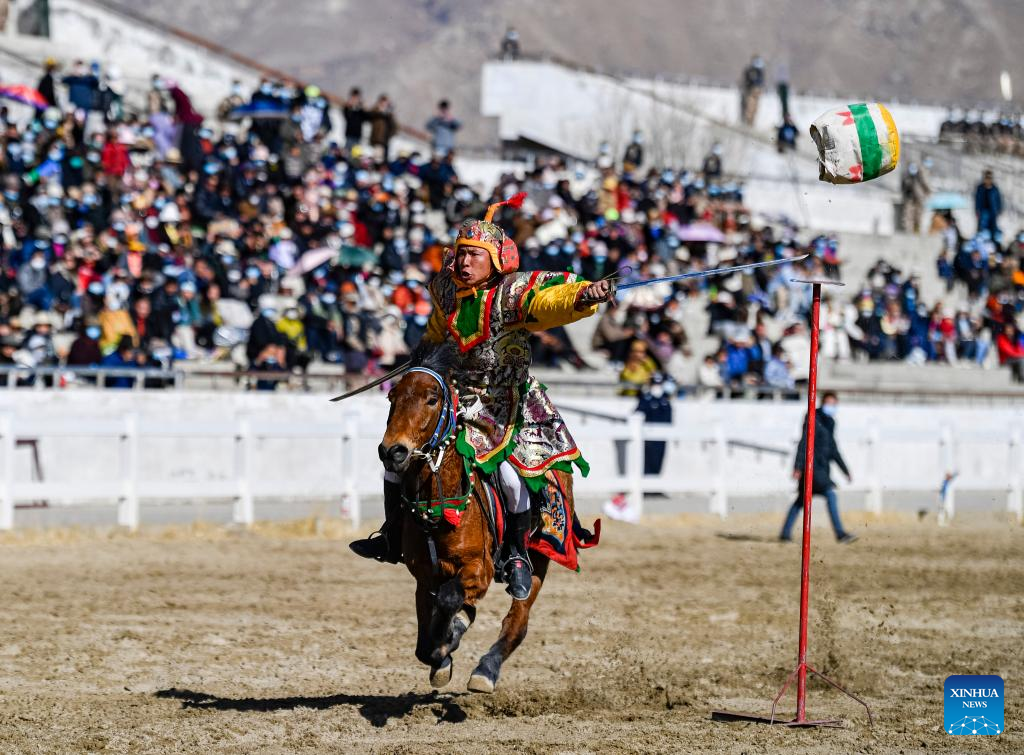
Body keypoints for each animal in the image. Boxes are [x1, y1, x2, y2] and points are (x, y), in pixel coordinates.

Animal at [380, 356, 569, 692]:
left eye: (432, 399)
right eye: (392, 398)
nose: (392, 451)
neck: (439, 510)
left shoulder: (480, 568)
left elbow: (449, 599)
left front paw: (448, 641)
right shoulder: (424, 576)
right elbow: (424, 640)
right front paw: (443, 652)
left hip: (539, 558)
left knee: (517, 620)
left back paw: (486, 670)